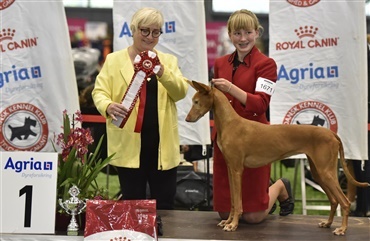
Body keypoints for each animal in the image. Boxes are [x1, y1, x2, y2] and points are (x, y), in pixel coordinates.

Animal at [185, 80, 370, 235]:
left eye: (196, 102)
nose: (187, 119)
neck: (230, 123)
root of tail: (332, 134)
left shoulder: (237, 170)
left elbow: (238, 202)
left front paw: (233, 225)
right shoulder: (231, 169)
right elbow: (232, 201)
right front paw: (228, 221)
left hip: (326, 172)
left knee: (344, 201)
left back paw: (342, 229)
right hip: (319, 172)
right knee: (333, 200)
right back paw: (328, 223)